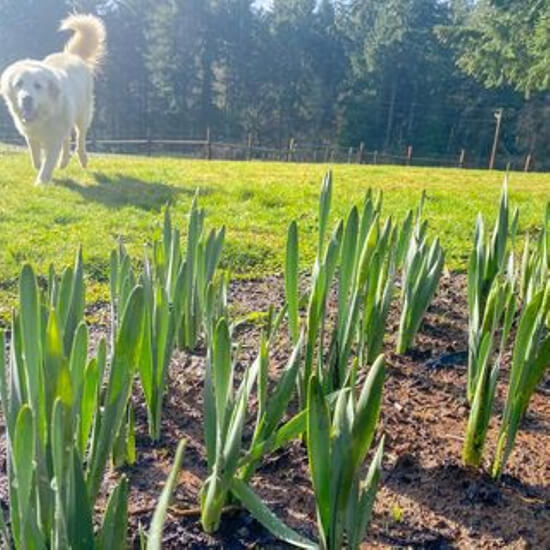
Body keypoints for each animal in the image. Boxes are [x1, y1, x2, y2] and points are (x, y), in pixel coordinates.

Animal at [0, 14, 106, 187]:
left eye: (38, 86)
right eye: (19, 83)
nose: (26, 98)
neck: (44, 114)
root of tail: (72, 55)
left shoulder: (54, 139)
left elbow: (48, 163)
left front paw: (41, 182)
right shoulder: (31, 134)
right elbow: (35, 155)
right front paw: (39, 166)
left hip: (83, 115)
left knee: (80, 138)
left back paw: (82, 158)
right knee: (67, 140)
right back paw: (63, 162)